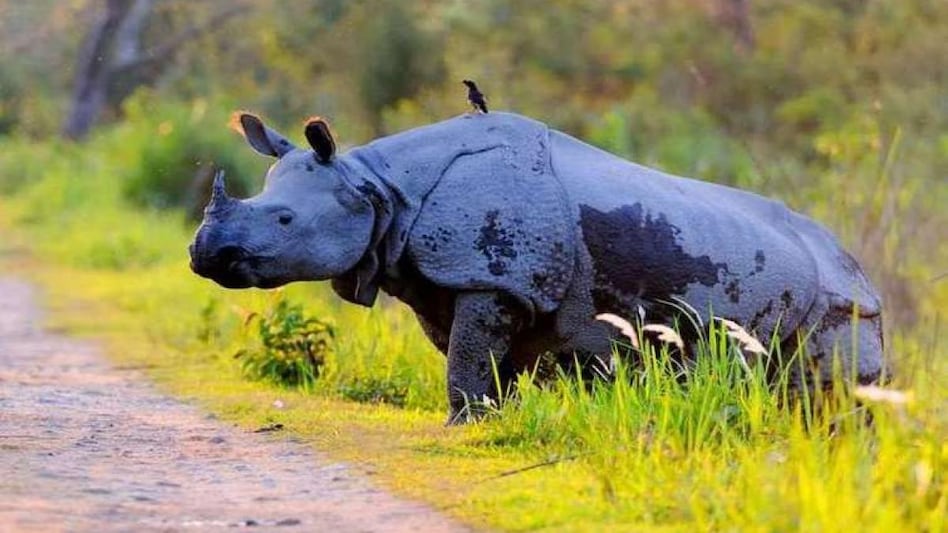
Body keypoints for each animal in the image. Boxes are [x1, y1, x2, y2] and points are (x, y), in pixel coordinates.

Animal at [189, 111, 885, 422]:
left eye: (284, 221)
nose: (204, 255)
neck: (379, 187)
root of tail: (858, 265)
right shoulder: (466, 283)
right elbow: (481, 361)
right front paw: (492, 420)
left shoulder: (493, 278)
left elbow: (468, 363)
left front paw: (464, 424)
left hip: (846, 303)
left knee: (835, 390)